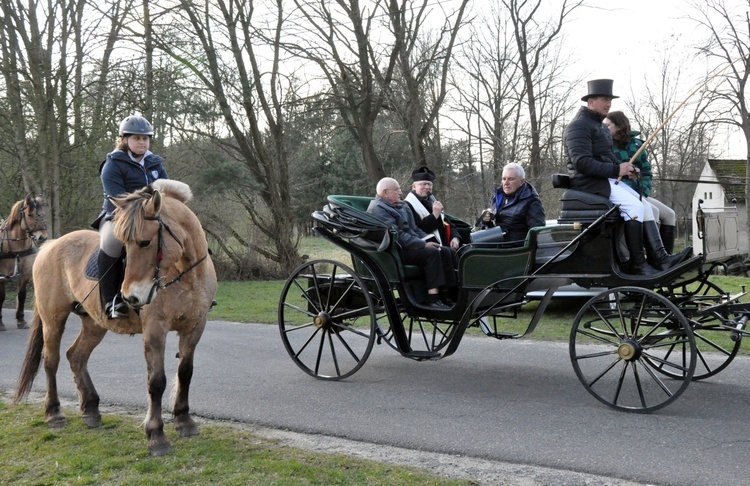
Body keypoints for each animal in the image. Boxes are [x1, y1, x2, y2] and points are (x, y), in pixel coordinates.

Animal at [0, 196, 47, 332]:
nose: (42, 237)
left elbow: (22, 296)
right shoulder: (2, 276)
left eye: (43, 214)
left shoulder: (25, 275)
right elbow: (1, 297)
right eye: (30, 215)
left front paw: (21, 320)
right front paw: (0, 323)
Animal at [13, 181, 217, 456]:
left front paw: (184, 421)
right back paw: (54, 413)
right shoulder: (155, 329)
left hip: (94, 324)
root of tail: (49, 246)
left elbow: (185, 372)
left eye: (145, 243)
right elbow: (157, 381)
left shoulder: (195, 327)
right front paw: (156, 435)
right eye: (125, 244)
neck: (187, 275)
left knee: (76, 356)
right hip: (53, 318)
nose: (131, 297)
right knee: (51, 361)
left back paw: (91, 410)